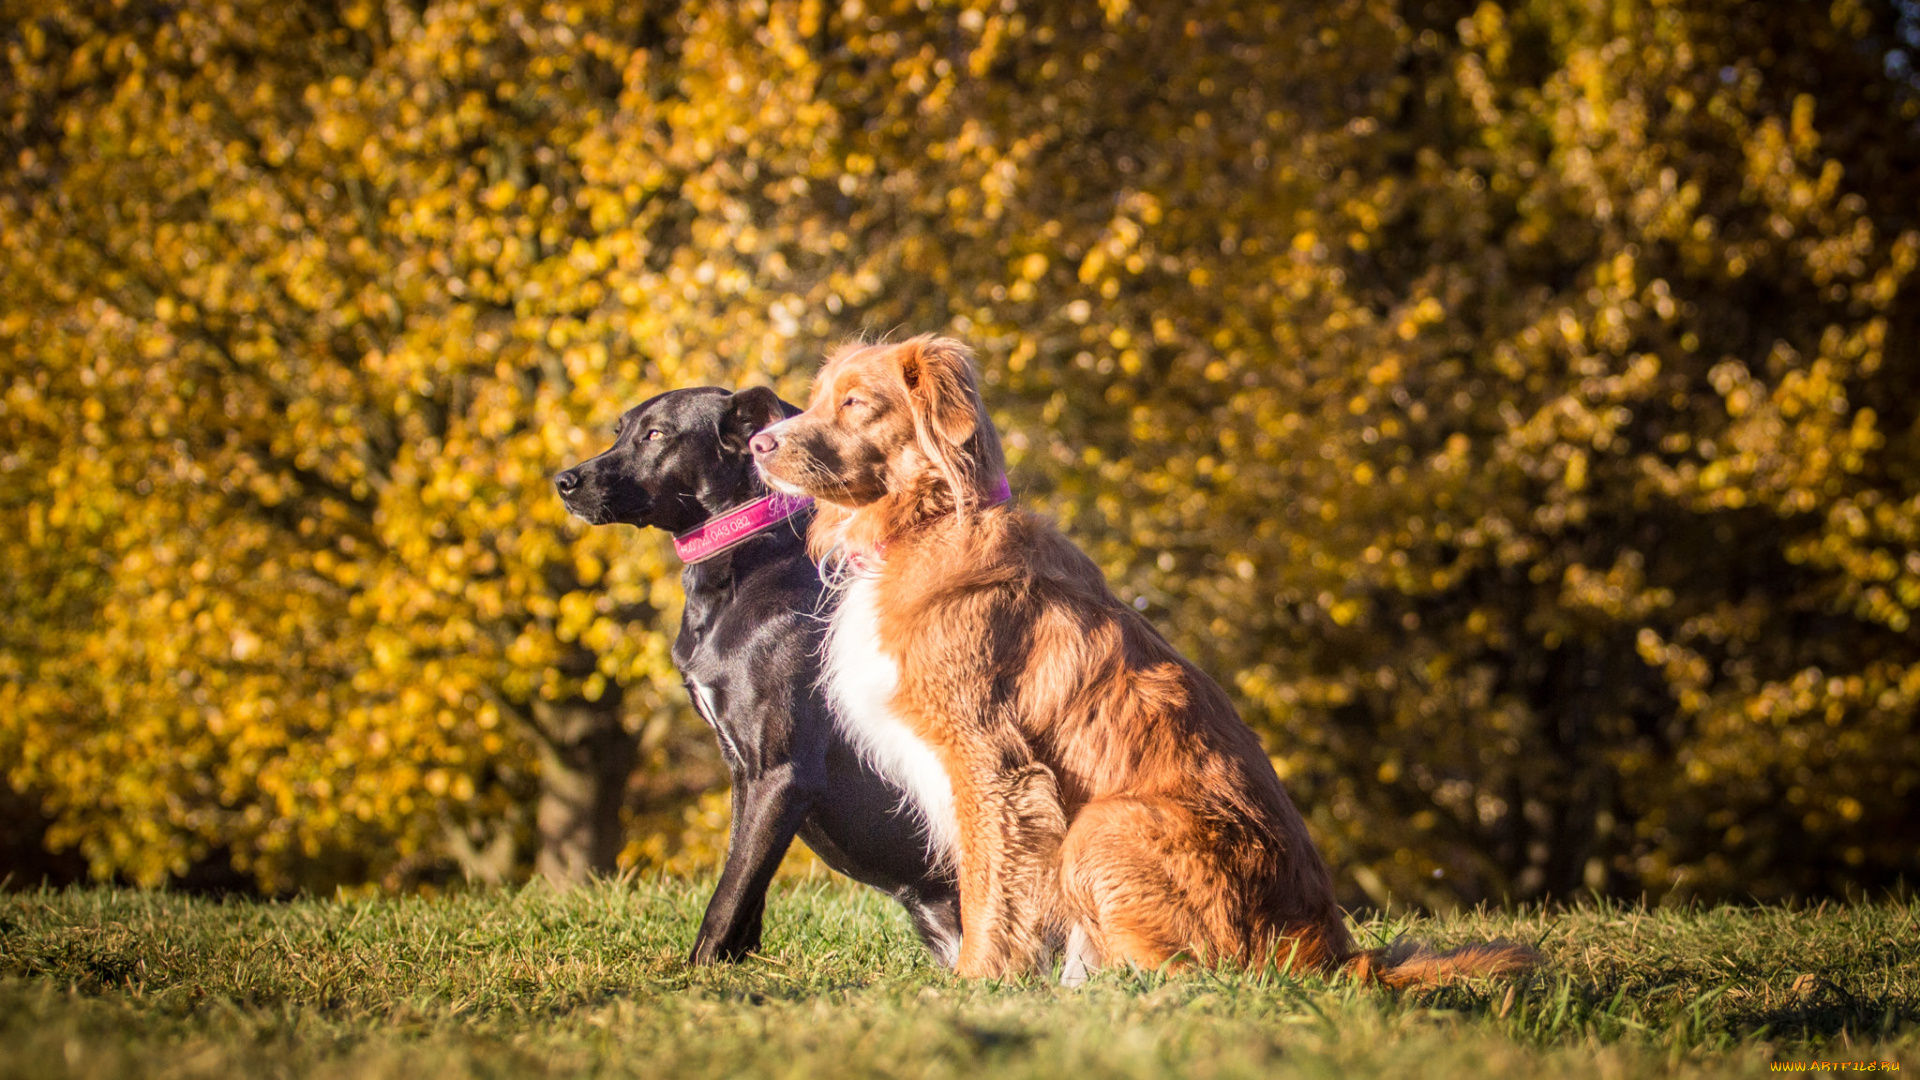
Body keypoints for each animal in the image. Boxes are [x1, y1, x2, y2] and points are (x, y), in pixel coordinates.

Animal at [556, 384, 960, 957]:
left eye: (656, 434)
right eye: (620, 430)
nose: (563, 481)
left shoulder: (781, 771)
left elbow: (727, 894)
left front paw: (697, 970)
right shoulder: (742, 767)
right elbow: (745, 880)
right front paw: (735, 962)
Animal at [748, 336, 1528, 983]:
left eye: (857, 402)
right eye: (815, 399)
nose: (758, 442)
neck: (926, 520)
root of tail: (1328, 952)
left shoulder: (989, 763)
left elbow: (989, 893)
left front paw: (975, 983)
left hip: (1102, 824)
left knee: (1186, 976)